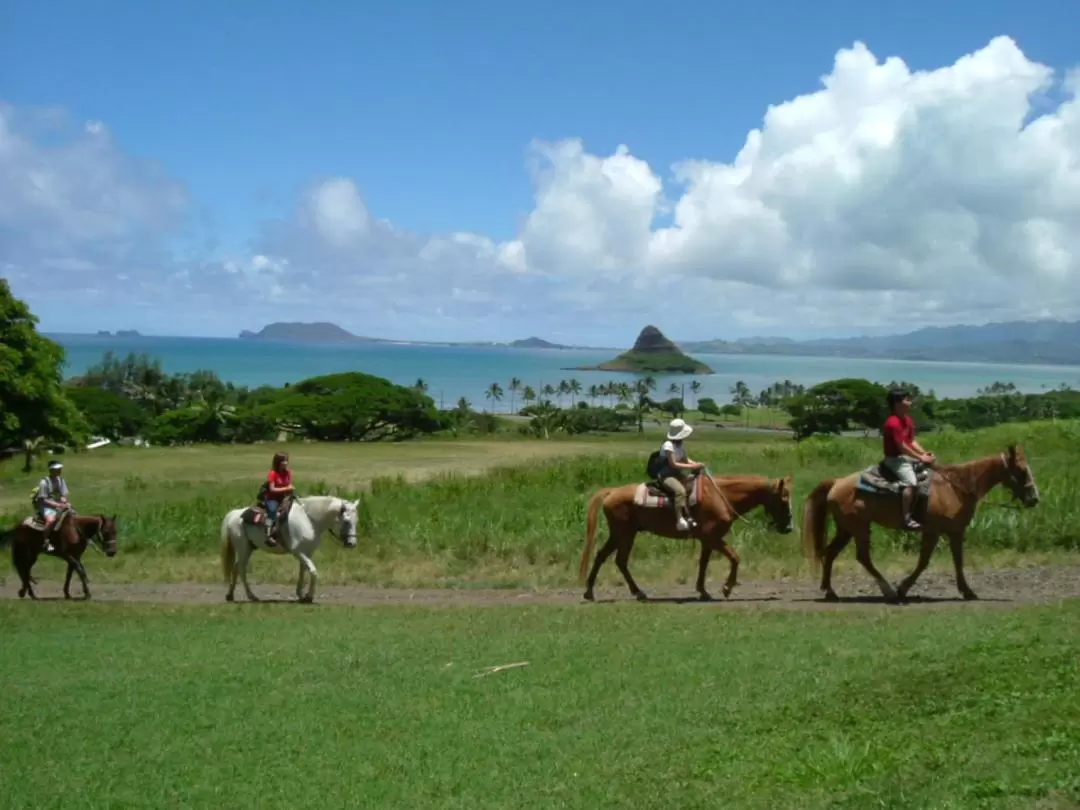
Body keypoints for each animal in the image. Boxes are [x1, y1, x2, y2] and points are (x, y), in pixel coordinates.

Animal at [221, 494, 360, 604]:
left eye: (356, 521)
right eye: (346, 521)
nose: (352, 543)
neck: (309, 520)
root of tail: (234, 514)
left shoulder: (307, 552)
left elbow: (303, 571)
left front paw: (301, 594)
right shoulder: (298, 552)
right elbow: (313, 571)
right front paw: (309, 597)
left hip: (247, 549)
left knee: (236, 567)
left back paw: (230, 595)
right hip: (243, 549)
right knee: (241, 569)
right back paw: (252, 596)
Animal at [583, 468, 794, 604]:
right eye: (784, 499)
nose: (789, 527)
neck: (721, 496)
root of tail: (612, 492)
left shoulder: (707, 540)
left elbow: (703, 563)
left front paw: (703, 591)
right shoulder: (712, 538)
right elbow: (735, 557)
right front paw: (726, 588)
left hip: (620, 534)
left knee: (605, 557)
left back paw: (592, 592)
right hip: (624, 534)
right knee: (619, 560)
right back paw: (635, 592)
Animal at [803, 444, 1036, 604]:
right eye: (1023, 470)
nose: (1035, 498)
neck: (956, 487)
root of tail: (837, 482)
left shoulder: (955, 532)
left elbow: (958, 561)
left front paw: (968, 591)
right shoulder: (932, 532)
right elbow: (923, 562)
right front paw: (902, 589)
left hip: (846, 529)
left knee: (830, 553)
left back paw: (830, 592)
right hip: (859, 528)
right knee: (862, 557)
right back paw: (888, 591)